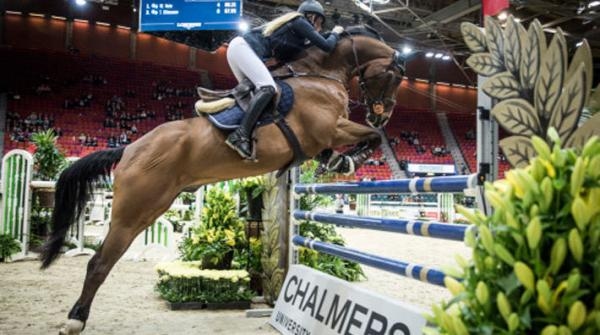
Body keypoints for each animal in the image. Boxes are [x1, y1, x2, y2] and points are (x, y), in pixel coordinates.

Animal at [39, 28, 406, 335]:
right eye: (394, 77)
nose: (382, 113)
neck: (321, 75)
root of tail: (129, 147)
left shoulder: (321, 140)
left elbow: (359, 141)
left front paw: (338, 160)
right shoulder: (330, 128)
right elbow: (372, 136)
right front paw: (350, 159)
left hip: (152, 207)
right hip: (133, 213)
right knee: (99, 263)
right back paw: (75, 320)